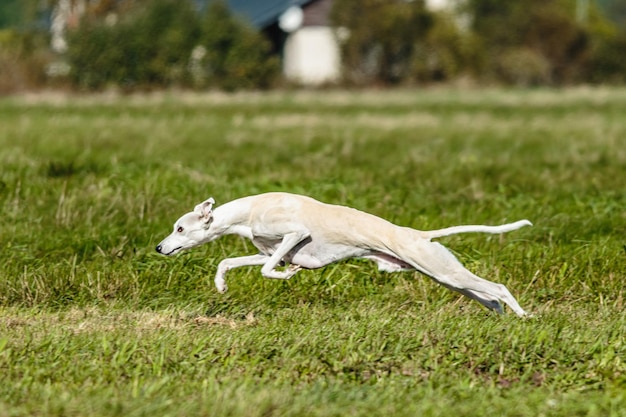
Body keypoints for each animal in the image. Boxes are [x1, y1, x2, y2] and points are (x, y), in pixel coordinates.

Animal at [156, 192, 532, 316]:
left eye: (179, 228)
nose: (159, 247)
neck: (249, 210)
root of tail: (420, 235)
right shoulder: (271, 251)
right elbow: (230, 261)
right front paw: (221, 284)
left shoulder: (294, 234)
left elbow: (268, 270)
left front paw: (286, 275)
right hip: (446, 277)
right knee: (487, 297)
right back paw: (501, 316)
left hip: (443, 272)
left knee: (498, 288)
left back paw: (524, 316)